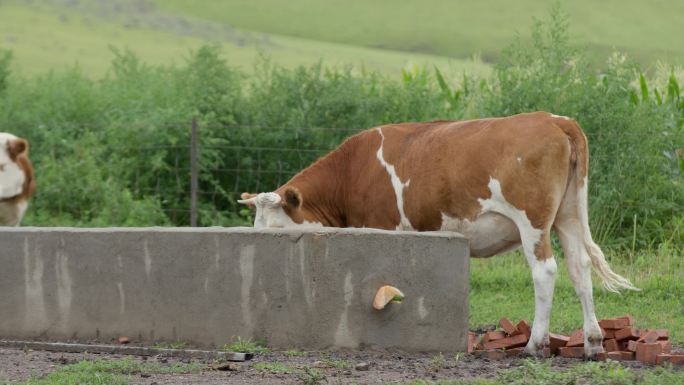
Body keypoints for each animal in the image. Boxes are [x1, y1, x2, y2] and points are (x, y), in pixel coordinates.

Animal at [239, 111, 636, 356]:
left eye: (276, 231)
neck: (351, 173)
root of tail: (553, 119)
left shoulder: (383, 226)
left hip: (533, 219)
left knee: (546, 271)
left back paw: (535, 345)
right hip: (568, 215)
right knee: (580, 268)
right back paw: (593, 342)